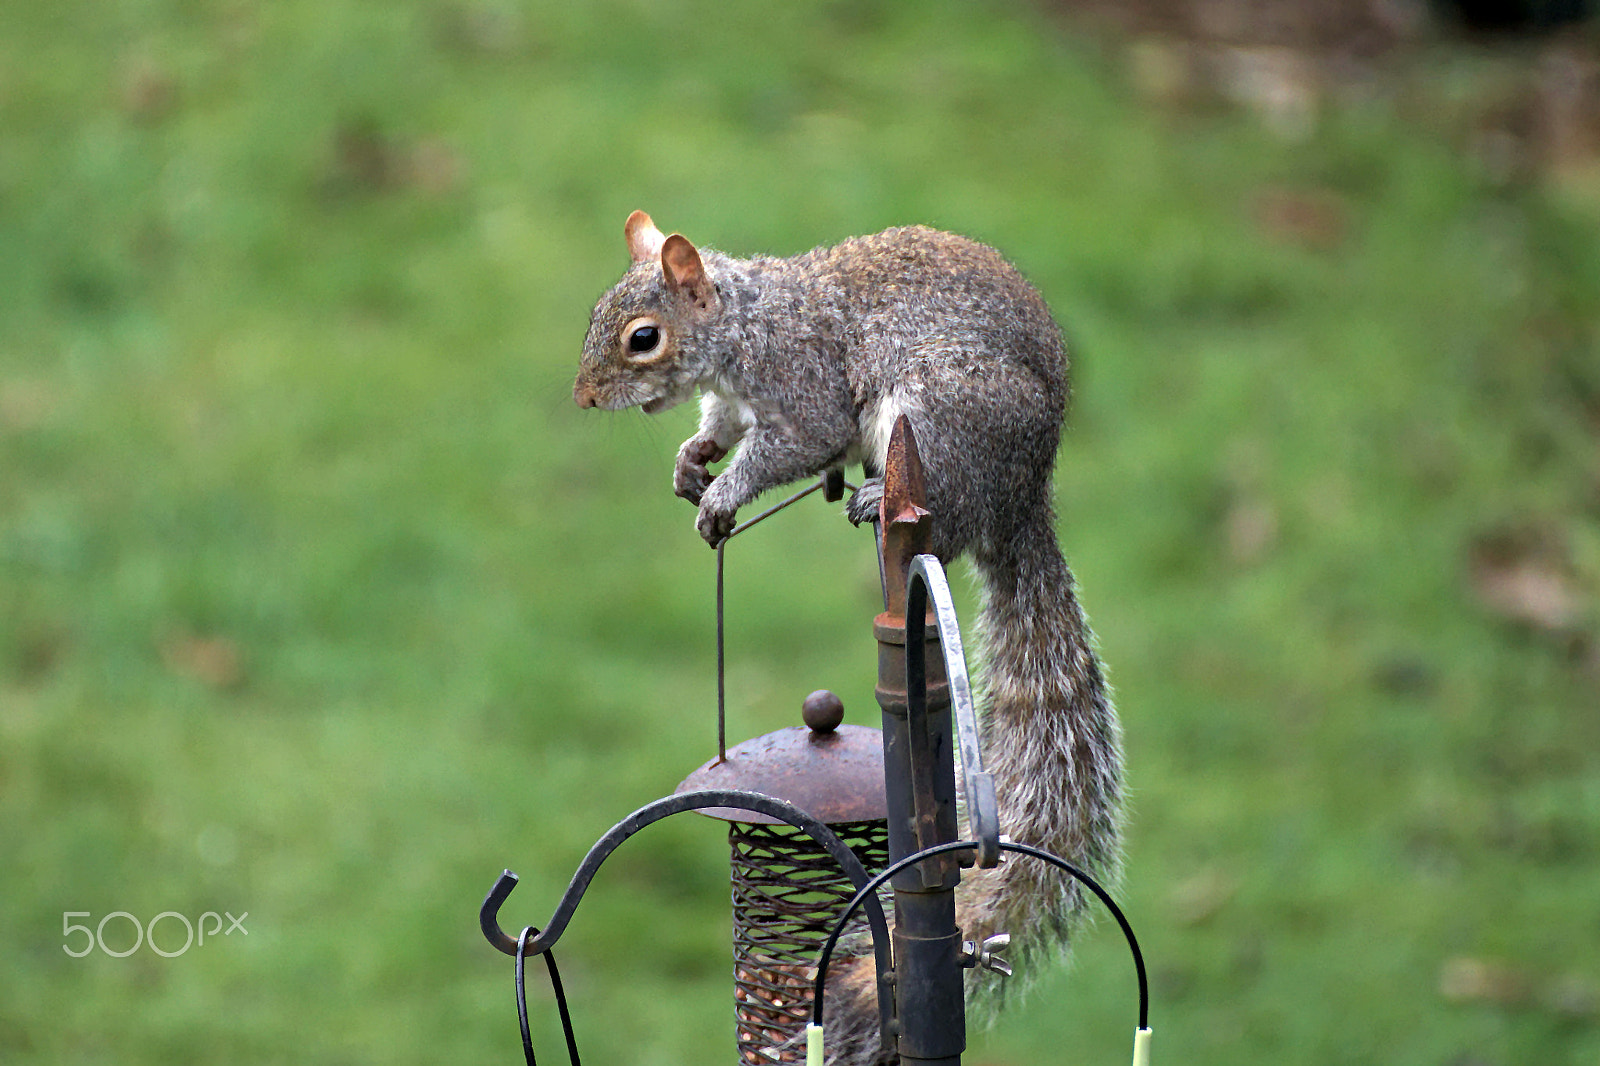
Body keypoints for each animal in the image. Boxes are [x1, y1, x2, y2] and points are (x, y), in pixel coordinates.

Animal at [574, 212, 1124, 1065]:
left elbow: (795, 443)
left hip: (939, 418)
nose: (585, 395)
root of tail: (1023, 497)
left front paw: (723, 492)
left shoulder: (803, 388)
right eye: (601, 317)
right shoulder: (733, 400)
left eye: (642, 338)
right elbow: (719, 427)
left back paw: (873, 497)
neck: (748, 322)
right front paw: (693, 461)